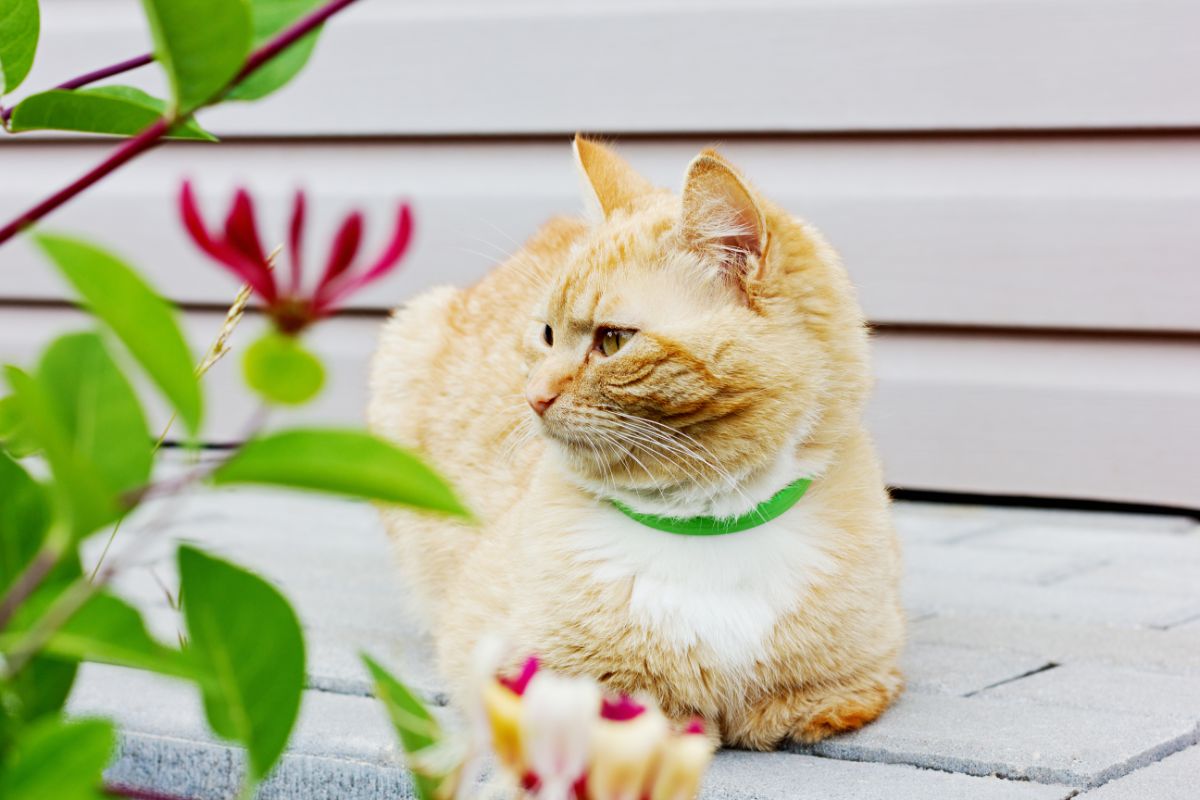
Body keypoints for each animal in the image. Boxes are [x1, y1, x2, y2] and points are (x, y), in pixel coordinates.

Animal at [364, 137, 902, 753]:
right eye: (546, 334)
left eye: (613, 340)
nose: (533, 396)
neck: (707, 524)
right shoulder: (512, 671)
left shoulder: (854, 683)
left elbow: (794, 708)